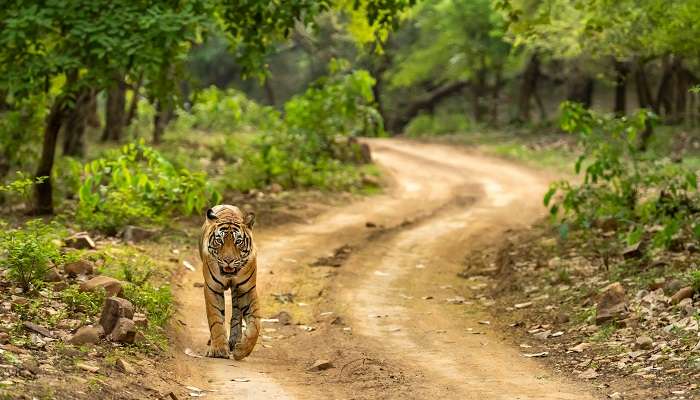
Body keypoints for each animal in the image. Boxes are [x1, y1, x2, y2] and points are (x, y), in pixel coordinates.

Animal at [198, 203, 262, 360]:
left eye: (238, 241)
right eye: (219, 241)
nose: (228, 260)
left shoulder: (247, 289)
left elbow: (255, 323)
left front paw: (242, 350)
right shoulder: (212, 288)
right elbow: (215, 318)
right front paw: (219, 350)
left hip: (237, 292)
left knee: (237, 313)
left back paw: (234, 340)